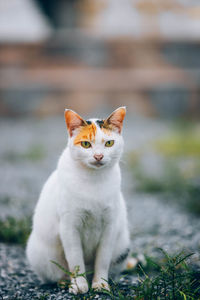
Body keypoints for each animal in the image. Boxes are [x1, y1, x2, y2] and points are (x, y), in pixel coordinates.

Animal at [26, 106, 130, 294]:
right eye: (86, 144)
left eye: (109, 143)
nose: (98, 156)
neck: (93, 180)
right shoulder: (69, 226)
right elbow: (75, 259)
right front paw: (79, 285)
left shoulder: (110, 226)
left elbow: (102, 259)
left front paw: (100, 284)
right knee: (56, 273)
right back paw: (64, 282)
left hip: (123, 248)